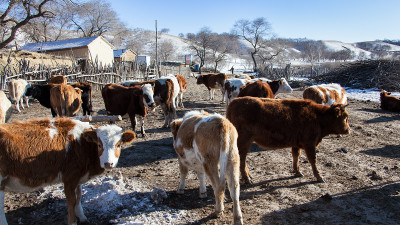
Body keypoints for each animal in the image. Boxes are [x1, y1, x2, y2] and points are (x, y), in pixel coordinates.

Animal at [0, 117, 136, 224]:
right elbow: (71, 201)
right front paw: (73, 221)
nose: (108, 163)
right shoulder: (69, 178)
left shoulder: (78, 177)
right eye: (99, 144)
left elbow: (79, 196)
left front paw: (82, 216)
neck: (81, 144)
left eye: (118, 145)